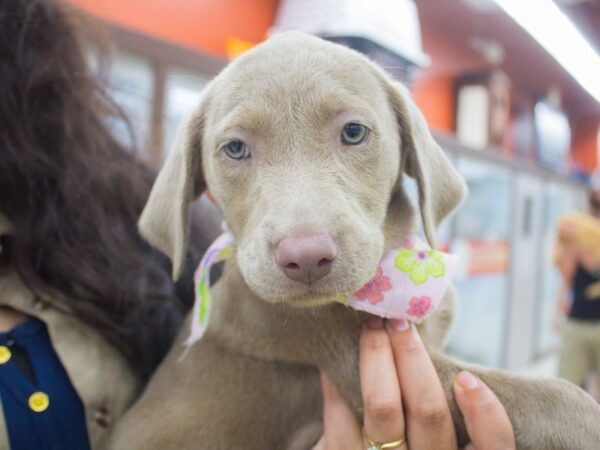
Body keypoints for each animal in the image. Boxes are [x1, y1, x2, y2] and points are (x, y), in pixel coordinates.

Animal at [108, 33, 600, 448]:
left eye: (353, 132)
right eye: (234, 149)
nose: (306, 258)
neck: (393, 275)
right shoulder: (349, 357)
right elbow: (558, 396)